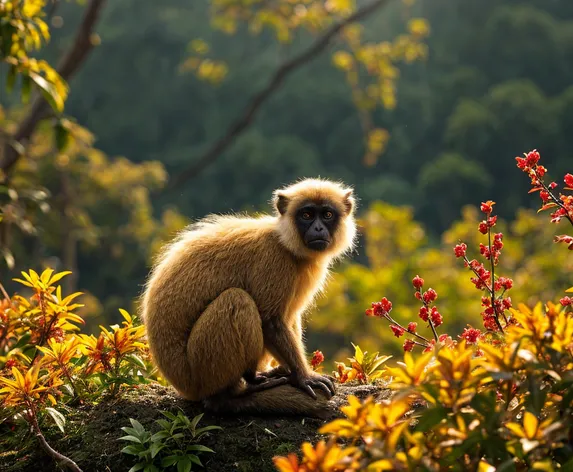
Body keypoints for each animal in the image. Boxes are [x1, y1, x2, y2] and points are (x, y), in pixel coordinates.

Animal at [141, 179, 358, 418]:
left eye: (327, 215)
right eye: (307, 215)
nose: (318, 228)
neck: (285, 243)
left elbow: (289, 318)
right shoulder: (273, 258)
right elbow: (270, 321)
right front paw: (304, 377)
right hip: (199, 373)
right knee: (237, 299)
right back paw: (242, 388)